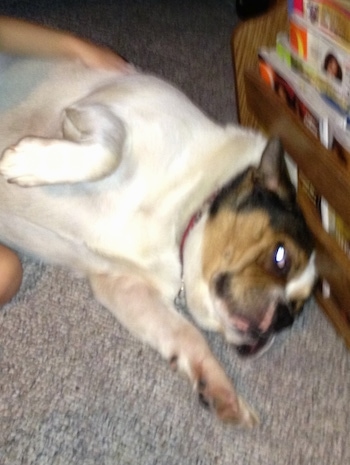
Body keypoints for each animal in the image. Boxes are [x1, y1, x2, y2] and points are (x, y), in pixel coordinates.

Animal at [0, 56, 318, 426]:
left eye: (296, 309)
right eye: (281, 257)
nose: (283, 319)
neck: (185, 210)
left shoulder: (125, 288)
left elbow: (185, 334)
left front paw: (222, 389)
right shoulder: (97, 110)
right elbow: (109, 150)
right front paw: (30, 162)